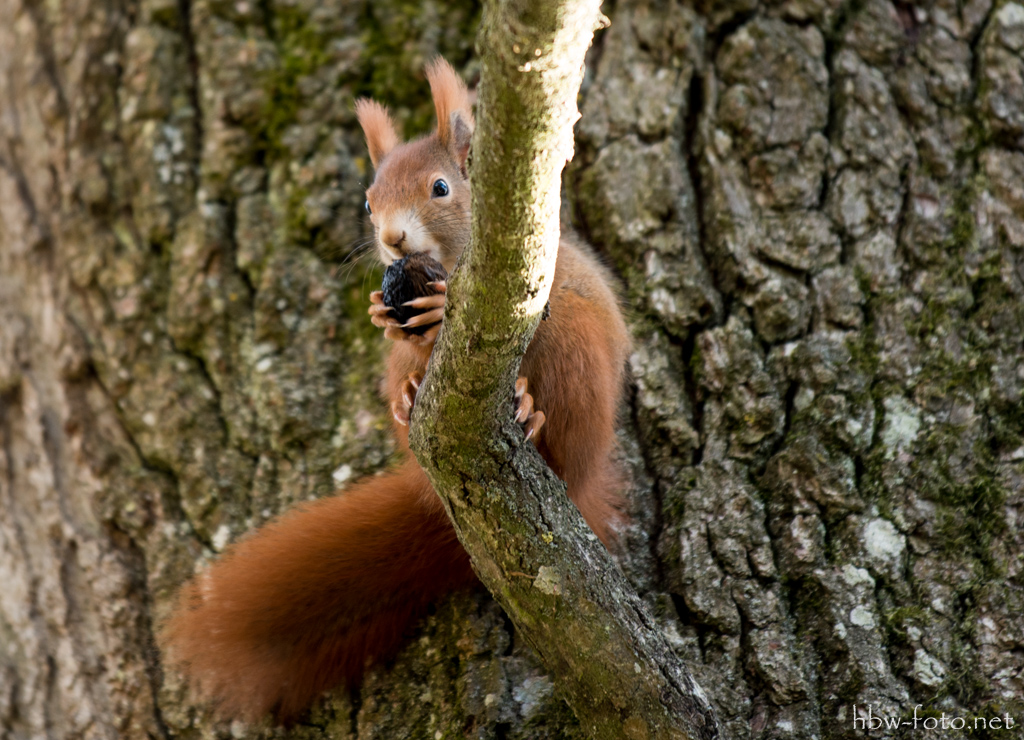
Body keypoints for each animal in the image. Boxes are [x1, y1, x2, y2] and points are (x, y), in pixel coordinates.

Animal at [159, 57, 630, 724]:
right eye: (369, 199)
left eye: (440, 189)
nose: (392, 239)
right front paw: (387, 318)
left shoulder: (538, 282)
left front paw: (434, 307)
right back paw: (409, 398)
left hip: (579, 356)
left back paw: (529, 411)